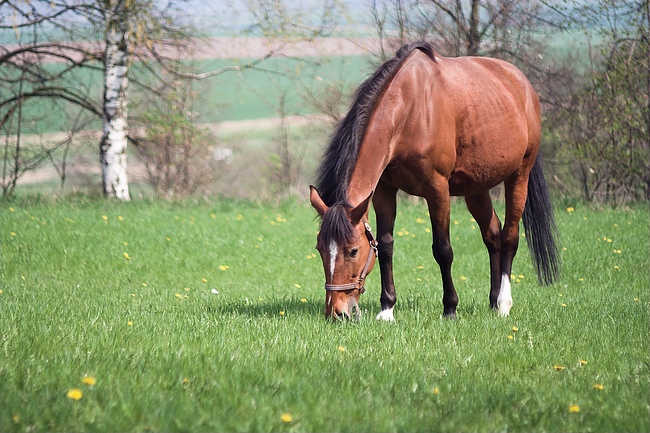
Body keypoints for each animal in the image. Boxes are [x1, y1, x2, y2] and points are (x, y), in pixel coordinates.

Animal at [308, 42, 556, 318]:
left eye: (353, 251)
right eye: (320, 248)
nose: (337, 312)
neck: (410, 109)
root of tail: (523, 84)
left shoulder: (437, 190)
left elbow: (443, 250)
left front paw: (450, 308)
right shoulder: (384, 190)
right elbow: (386, 245)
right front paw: (387, 309)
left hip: (519, 176)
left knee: (510, 238)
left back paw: (503, 304)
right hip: (476, 188)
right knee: (492, 235)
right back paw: (492, 301)